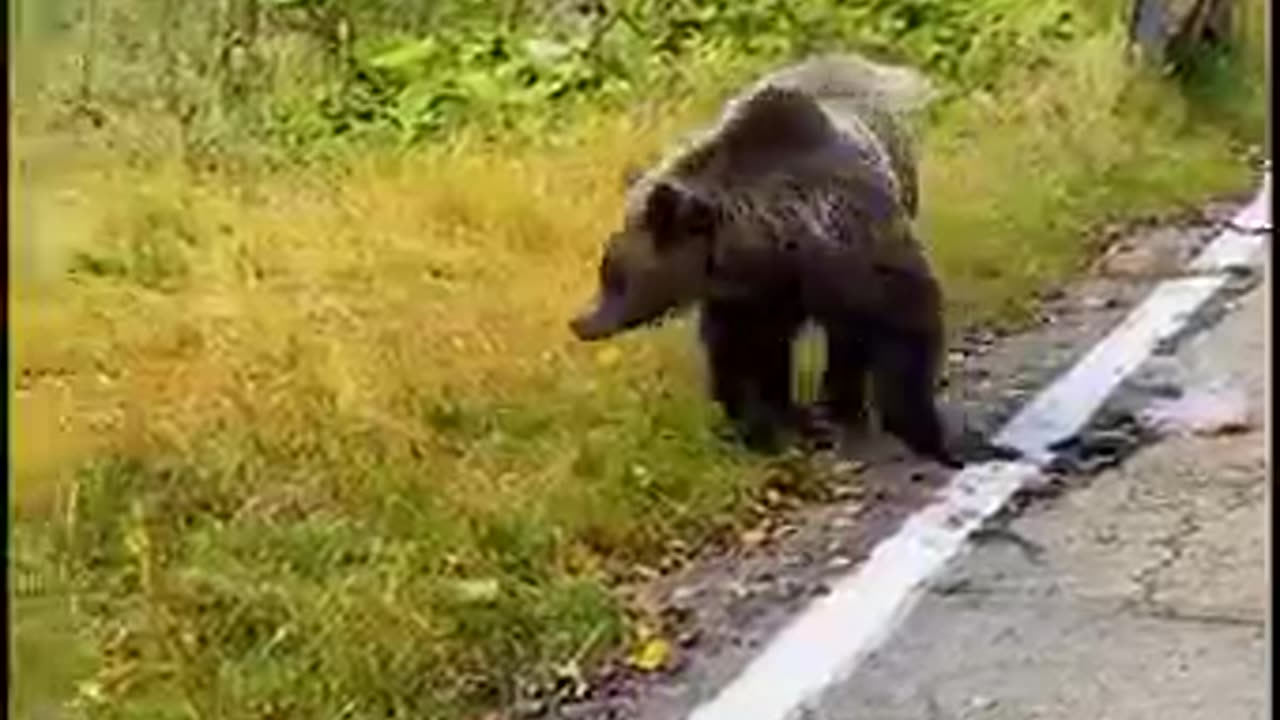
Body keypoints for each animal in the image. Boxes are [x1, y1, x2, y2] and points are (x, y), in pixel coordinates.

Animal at [568, 53, 961, 468]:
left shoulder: (855, 243)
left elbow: (905, 318)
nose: (580, 322)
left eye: (613, 274)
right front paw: (758, 428)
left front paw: (926, 434)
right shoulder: (751, 295)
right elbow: (742, 353)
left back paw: (840, 406)